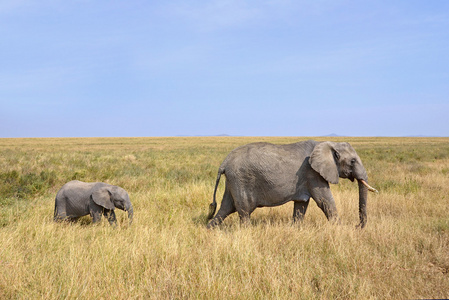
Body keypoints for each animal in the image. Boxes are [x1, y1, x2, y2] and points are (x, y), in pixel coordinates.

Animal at [208, 139, 376, 229]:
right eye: (352, 161)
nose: (356, 226)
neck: (328, 144)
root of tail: (224, 162)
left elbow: (301, 205)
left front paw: (296, 228)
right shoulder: (313, 173)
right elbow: (325, 201)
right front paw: (340, 229)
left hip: (233, 180)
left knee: (226, 207)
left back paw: (209, 229)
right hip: (241, 179)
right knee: (244, 209)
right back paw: (248, 231)